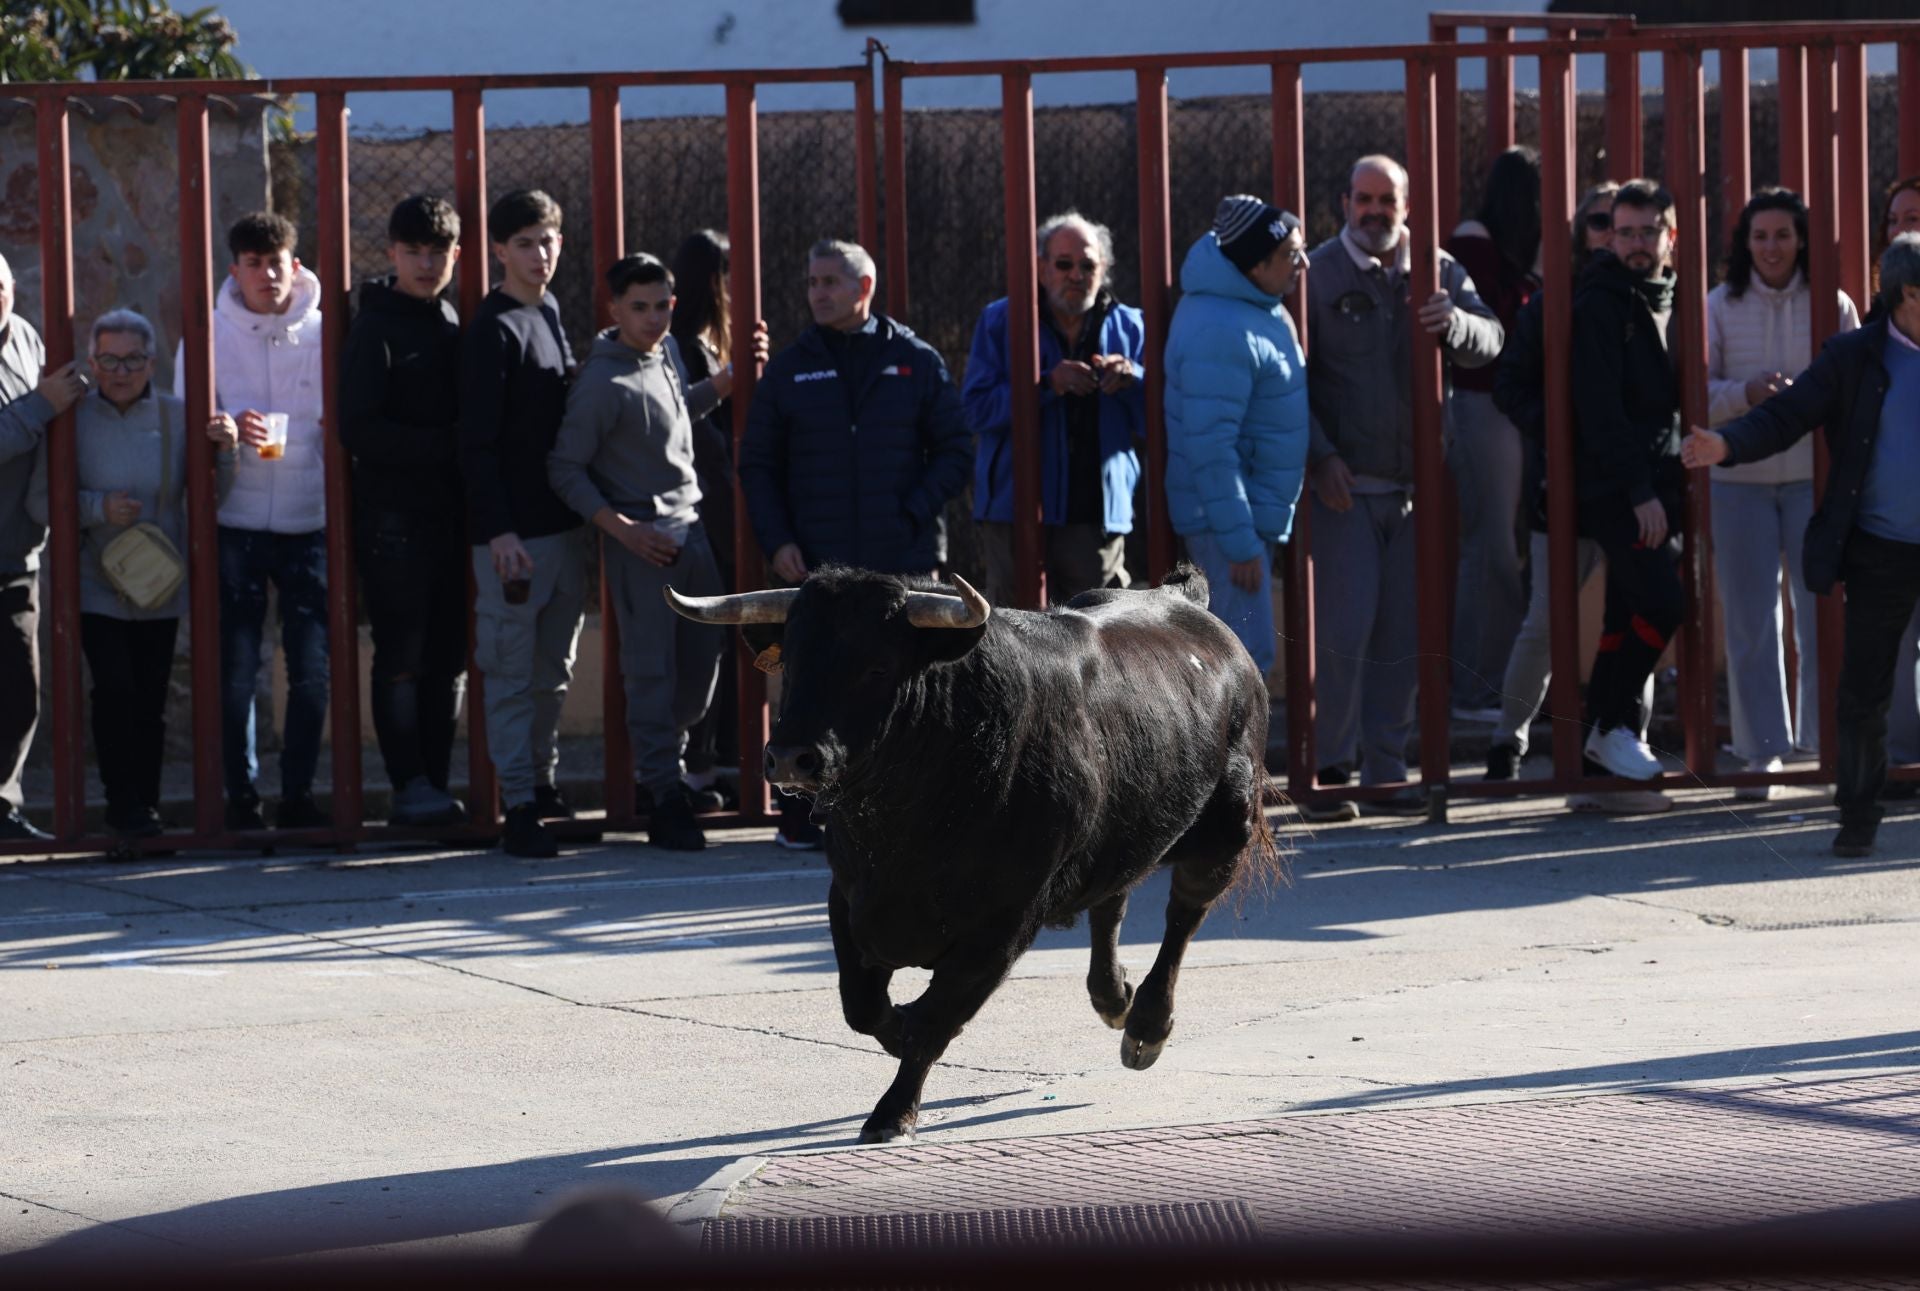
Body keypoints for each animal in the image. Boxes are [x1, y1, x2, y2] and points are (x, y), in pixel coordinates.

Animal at [668, 564, 1282, 1137]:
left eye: (877, 667)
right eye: (792, 662)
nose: (791, 758)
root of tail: (1182, 598)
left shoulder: (1003, 924)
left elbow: (935, 1019)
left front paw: (892, 1114)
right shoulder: (849, 898)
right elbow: (863, 1007)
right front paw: (897, 1032)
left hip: (1226, 829)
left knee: (1183, 915)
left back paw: (1145, 1028)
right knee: (1113, 900)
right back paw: (1113, 999)